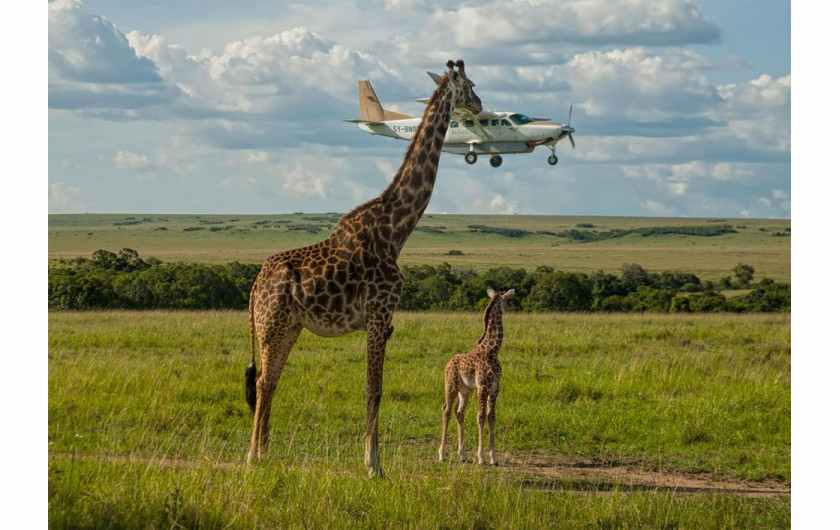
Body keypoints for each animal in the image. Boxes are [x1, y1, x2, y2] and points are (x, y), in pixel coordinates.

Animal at [244, 58, 480, 474]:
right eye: (469, 85)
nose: (481, 106)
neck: (396, 230)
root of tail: (256, 285)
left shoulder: (383, 320)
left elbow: (374, 388)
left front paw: (372, 460)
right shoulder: (378, 313)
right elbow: (375, 388)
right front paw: (373, 465)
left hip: (288, 326)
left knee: (270, 382)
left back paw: (264, 454)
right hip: (271, 324)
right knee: (262, 382)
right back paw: (254, 456)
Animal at [440, 286, 512, 464]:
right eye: (508, 299)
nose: (514, 306)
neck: (492, 351)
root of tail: (447, 364)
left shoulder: (495, 387)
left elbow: (491, 416)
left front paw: (493, 457)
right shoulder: (482, 386)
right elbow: (480, 416)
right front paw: (481, 457)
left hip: (464, 390)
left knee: (459, 412)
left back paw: (462, 455)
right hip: (451, 385)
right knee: (446, 410)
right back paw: (442, 454)